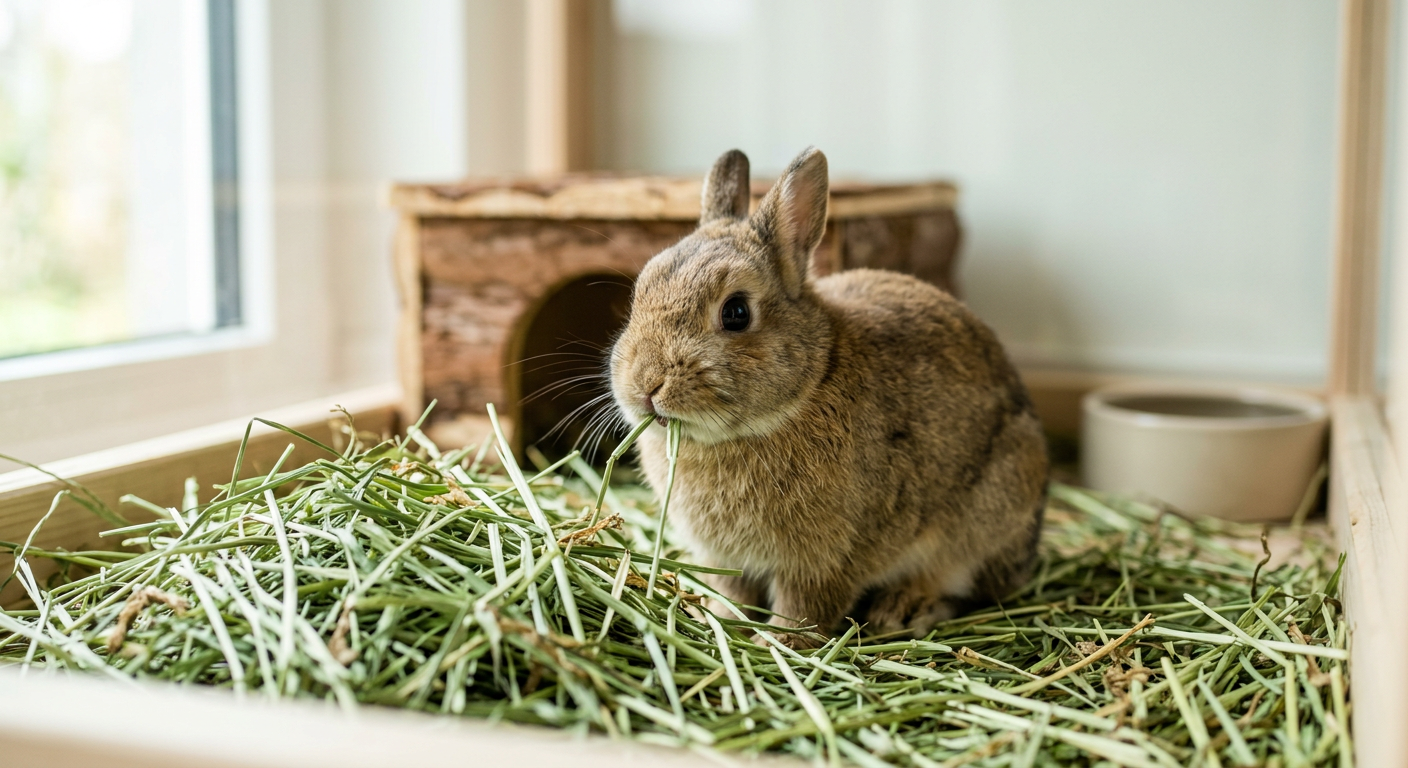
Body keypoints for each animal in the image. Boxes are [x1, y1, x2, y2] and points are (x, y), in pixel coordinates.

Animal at [609, 147, 1048, 648]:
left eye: (736, 312)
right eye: (641, 290)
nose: (645, 385)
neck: (809, 384)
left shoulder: (823, 561)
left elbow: (804, 611)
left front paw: (777, 644)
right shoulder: (727, 561)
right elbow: (732, 595)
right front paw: (718, 620)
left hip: (989, 511)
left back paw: (903, 609)